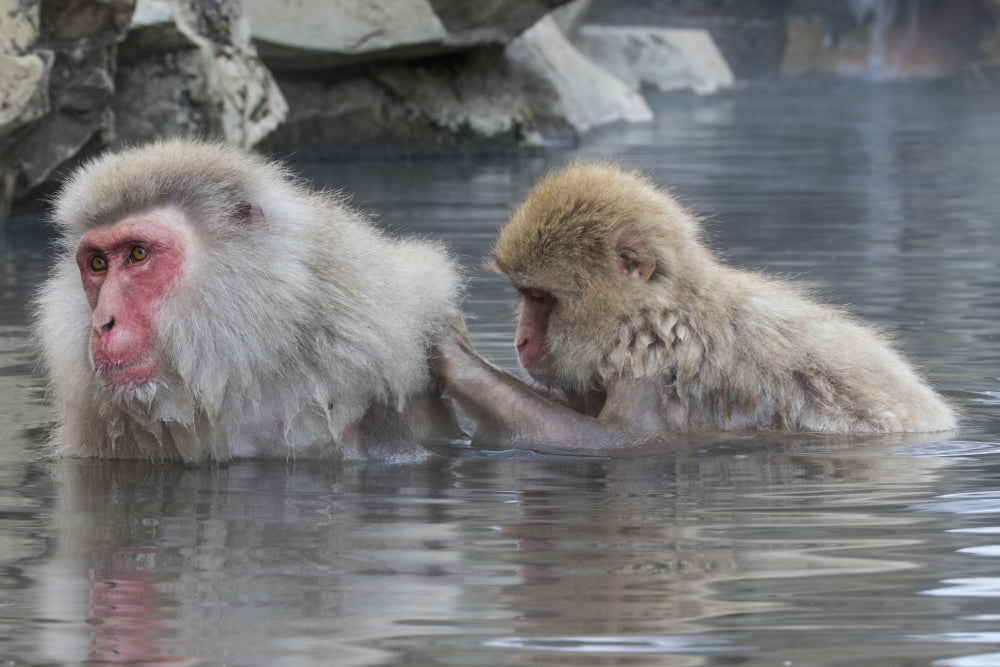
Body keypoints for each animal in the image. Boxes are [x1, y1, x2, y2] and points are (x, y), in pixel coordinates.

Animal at [432, 162, 956, 452]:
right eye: (525, 295)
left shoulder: (652, 355)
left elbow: (624, 442)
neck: (660, 308)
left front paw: (458, 359)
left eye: (540, 298)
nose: (520, 340)